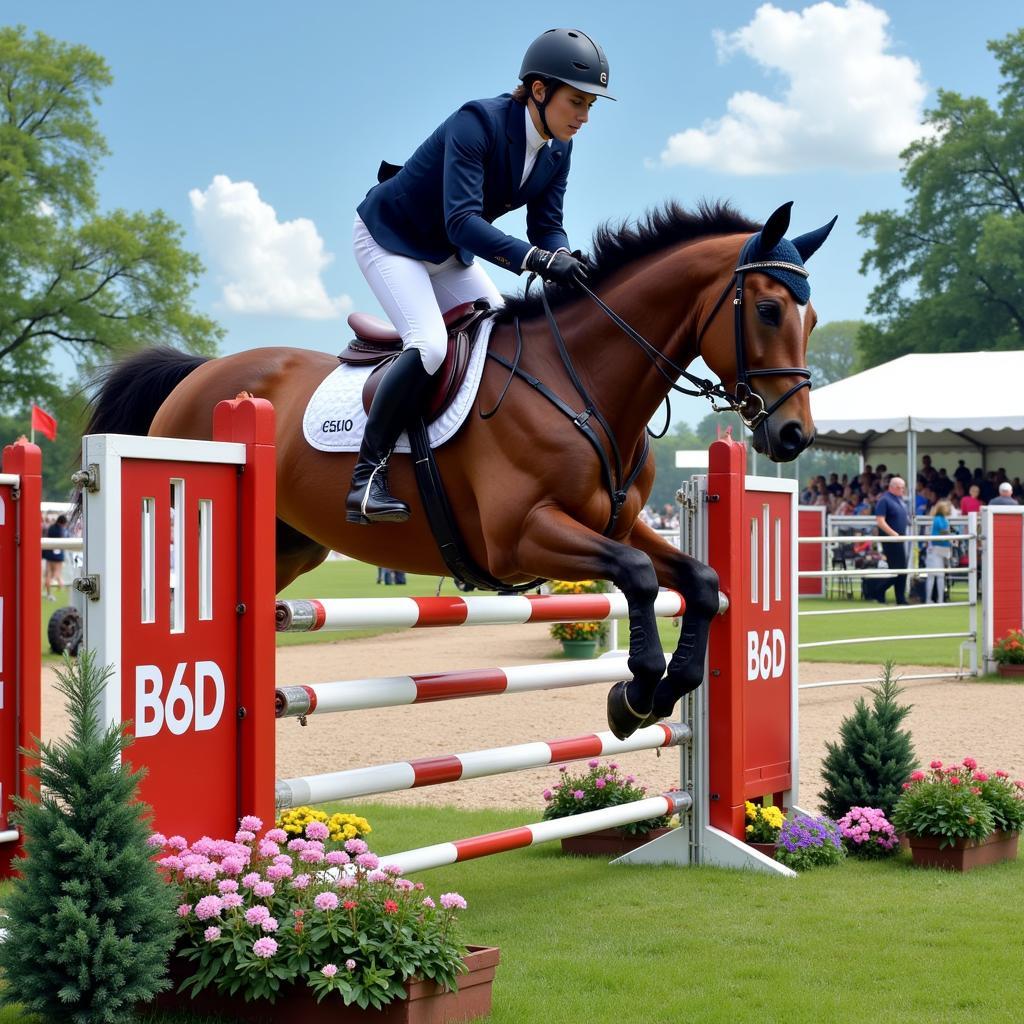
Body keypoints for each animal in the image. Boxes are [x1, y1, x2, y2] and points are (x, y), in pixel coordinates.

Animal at [81, 199, 831, 741]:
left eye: (814, 317)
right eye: (769, 309)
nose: (793, 435)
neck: (581, 379)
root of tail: (201, 373)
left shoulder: (617, 523)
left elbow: (698, 582)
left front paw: (659, 691)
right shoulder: (520, 537)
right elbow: (641, 577)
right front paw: (637, 692)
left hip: (290, 546)